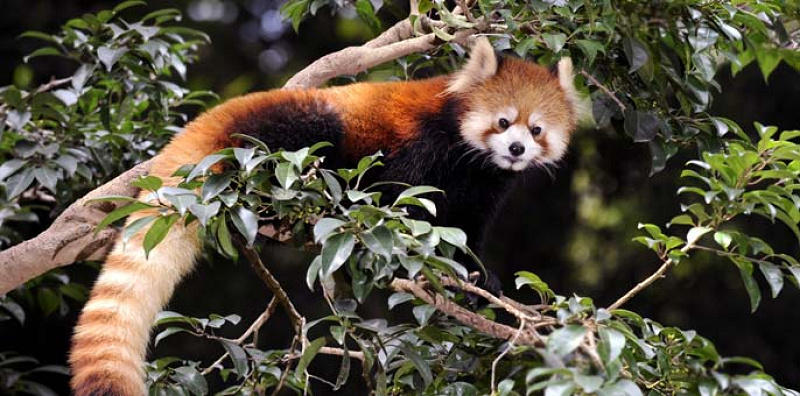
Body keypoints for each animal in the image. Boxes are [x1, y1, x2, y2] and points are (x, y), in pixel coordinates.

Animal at [69, 35, 580, 394]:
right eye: (503, 122)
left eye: (536, 130)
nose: (516, 149)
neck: (472, 160)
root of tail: (217, 117)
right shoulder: (418, 146)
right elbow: (397, 197)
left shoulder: (485, 188)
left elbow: (464, 230)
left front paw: (478, 278)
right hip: (283, 130)